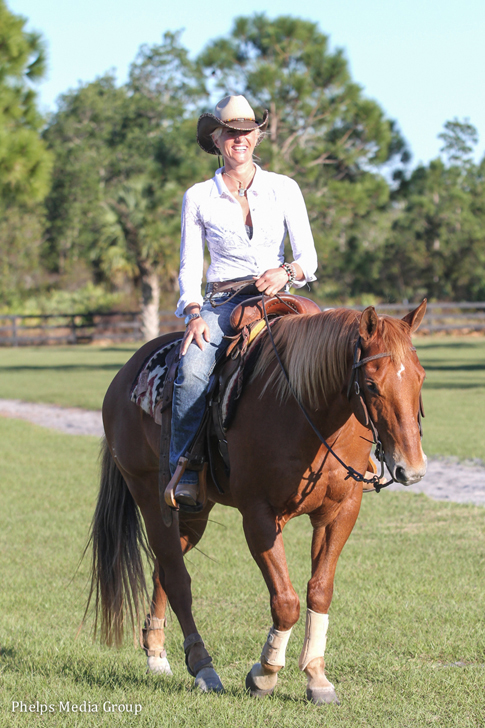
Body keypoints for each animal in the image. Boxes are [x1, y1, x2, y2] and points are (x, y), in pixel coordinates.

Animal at [88, 298, 428, 704]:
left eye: (421, 378)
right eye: (373, 384)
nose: (412, 469)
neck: (305, 410)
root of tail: (123, 375)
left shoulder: (339, 512)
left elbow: (319, 592)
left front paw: (317, 676)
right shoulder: (259, 516)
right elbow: (286, 601)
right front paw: (264, 674)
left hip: (194, 511)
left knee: (163, 571)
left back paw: (157, 655)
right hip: (151, 499)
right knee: (179, 580)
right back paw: (203, 668)